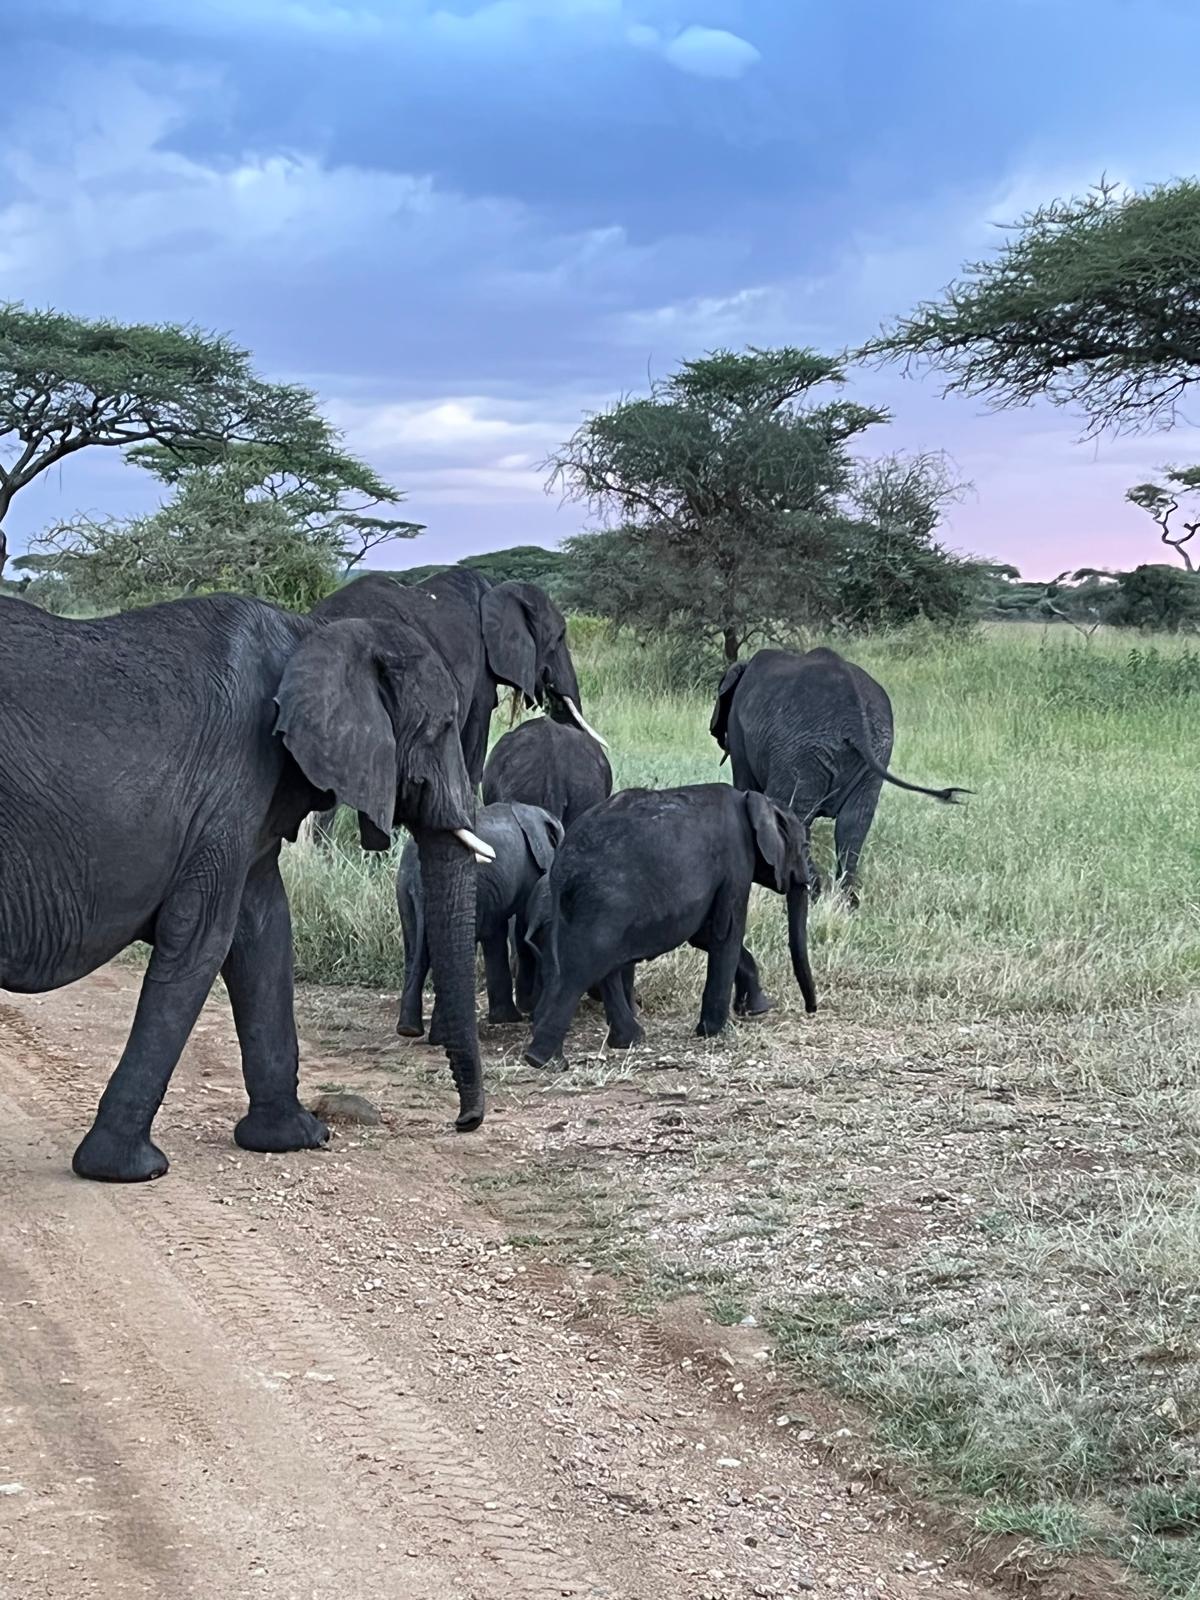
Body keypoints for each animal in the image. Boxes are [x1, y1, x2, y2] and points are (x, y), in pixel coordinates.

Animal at [0, 593, 488, 1182]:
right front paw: (128, 1170)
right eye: (443, 726)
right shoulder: (229, 786)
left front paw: (295, 1138)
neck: (311, 631)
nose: (464, 1123)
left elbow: (265, 932)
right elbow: (202, 939)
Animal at [396, 801, 564, 1038]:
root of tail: (416, 874)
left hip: (405, 894)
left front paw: (508, 1017)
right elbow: (519, 926)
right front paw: (517, 1014)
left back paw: (410, 1030)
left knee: (415, 951)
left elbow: (497, 931)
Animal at [523, 784, 817, 1069]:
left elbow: (704, 935)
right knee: (582, 967)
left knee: (598, 967)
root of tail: (561, 864)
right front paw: (713, 1032)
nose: (811, 1009)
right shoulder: (736, 863)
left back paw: (624, 1042)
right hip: (604, 902)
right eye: (804, 847)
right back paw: (544, 1061)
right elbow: (726, 933)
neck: (752, 799)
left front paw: (755, 1010)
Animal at [710, 647, 968, 904]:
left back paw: (810, 894)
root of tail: (853, 715)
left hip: (800, 751)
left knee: (795, 816)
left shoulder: (738, 733)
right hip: (874, 748)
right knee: (854, 821)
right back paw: (847, 900)